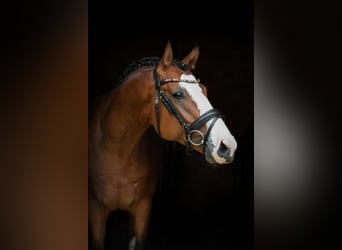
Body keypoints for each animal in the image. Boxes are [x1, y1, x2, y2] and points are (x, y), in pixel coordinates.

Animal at [89, 41, 238, 250]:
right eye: (177, 94)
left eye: (205, 90)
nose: (227, 145)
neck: (117, 150)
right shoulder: (95, 210)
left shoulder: (143, 209)